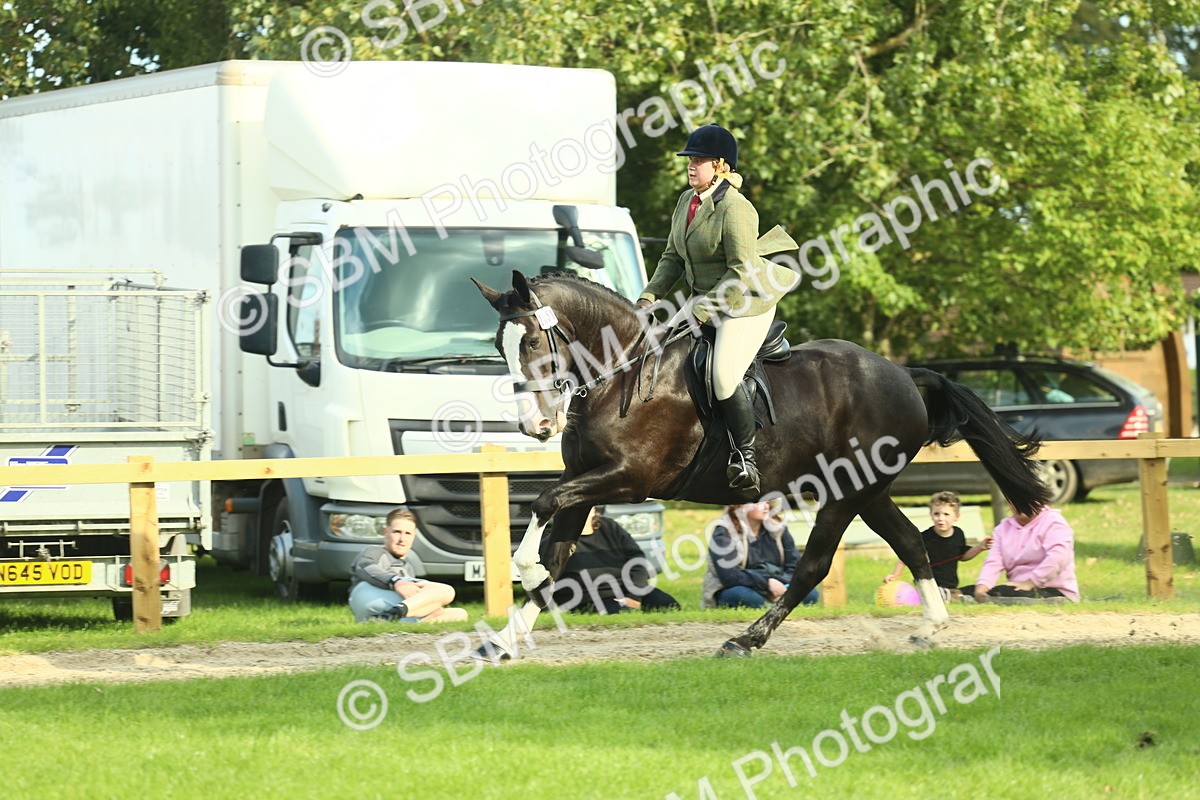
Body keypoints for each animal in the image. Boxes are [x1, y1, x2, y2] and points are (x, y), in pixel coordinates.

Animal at [471, 269, 1049, 658]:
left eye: (531, 341)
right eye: (499, 347)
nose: (534, 426)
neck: (620, 375)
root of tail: (904, 374)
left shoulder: (628, 480)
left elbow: (544, 508)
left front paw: (522, 569)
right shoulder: (584, 480)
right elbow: (558, 552)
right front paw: (505, 639)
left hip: (845, 494)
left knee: (813, 565)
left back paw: (747, 639)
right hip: (870, 492)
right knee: (909, 541)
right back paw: (932, 627)